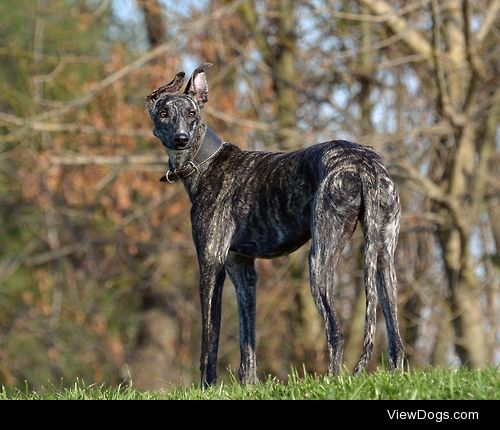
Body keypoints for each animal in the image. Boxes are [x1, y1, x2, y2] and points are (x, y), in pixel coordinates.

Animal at [146, 63, 404, 386]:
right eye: (163, 112)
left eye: (192, 113)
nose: (181, 138)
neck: (206, 161)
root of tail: (363, 162)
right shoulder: (242, 269)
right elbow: (248, 341)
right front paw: (249, 385)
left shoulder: (211, 264)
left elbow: (209, 337)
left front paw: (207, 386)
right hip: (383, 255)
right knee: (396, 338)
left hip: (320, 258)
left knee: (336, 331)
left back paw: (331, 381)